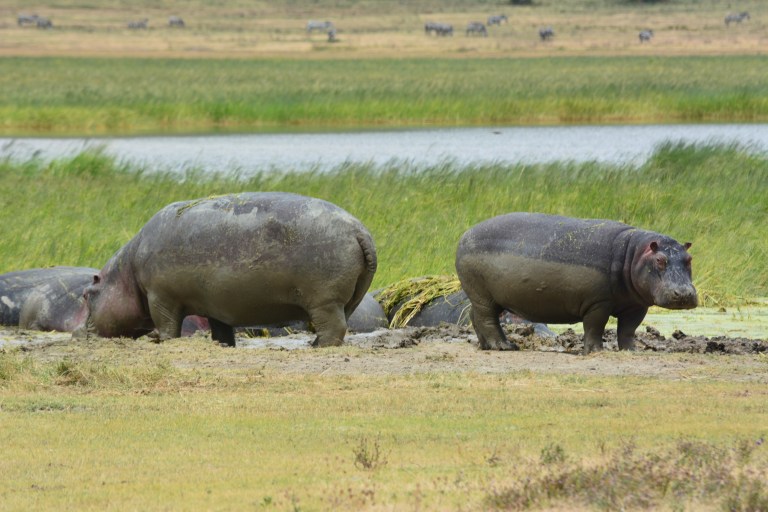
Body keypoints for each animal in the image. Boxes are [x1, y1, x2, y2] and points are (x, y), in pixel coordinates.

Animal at [78, 192, 377, 347]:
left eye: (86, 294)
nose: (78, 331)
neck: (126, 273)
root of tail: (359, 230)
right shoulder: (215, 304)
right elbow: (221, 330)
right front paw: (223, 345)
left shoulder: (161, 297)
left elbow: (167, 325)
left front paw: (162, 341)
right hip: (347, 298)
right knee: (340, 323)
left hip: (324, 300)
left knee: (333, 327)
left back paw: (317, 346)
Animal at [456, 213, 697, 354]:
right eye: (660, 260)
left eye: (689, 258)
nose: (684, 294)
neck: (634, 254)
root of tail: (465, 236)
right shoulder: (598, 303)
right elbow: (595, 327)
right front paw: (597, 351)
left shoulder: (636, 306)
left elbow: (628, 329)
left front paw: (631, 351)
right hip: (483, 296)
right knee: (487, 319)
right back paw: (505, 346)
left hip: (489, 297)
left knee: (475, 317)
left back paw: (485, 345)